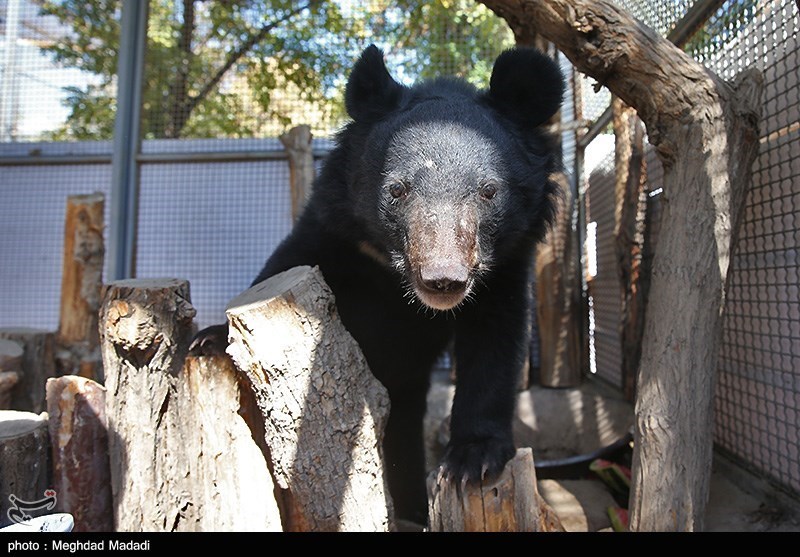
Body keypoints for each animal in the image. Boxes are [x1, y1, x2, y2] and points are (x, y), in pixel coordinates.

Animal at [191, 44, 564, 520]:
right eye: (397, 189)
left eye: (488, 191)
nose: (444, 279)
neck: (393, 269)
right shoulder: (336, 228)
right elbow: (288, 260)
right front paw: (210, 338)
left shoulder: (507, 262)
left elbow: (495, 342)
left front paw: (472, 459)